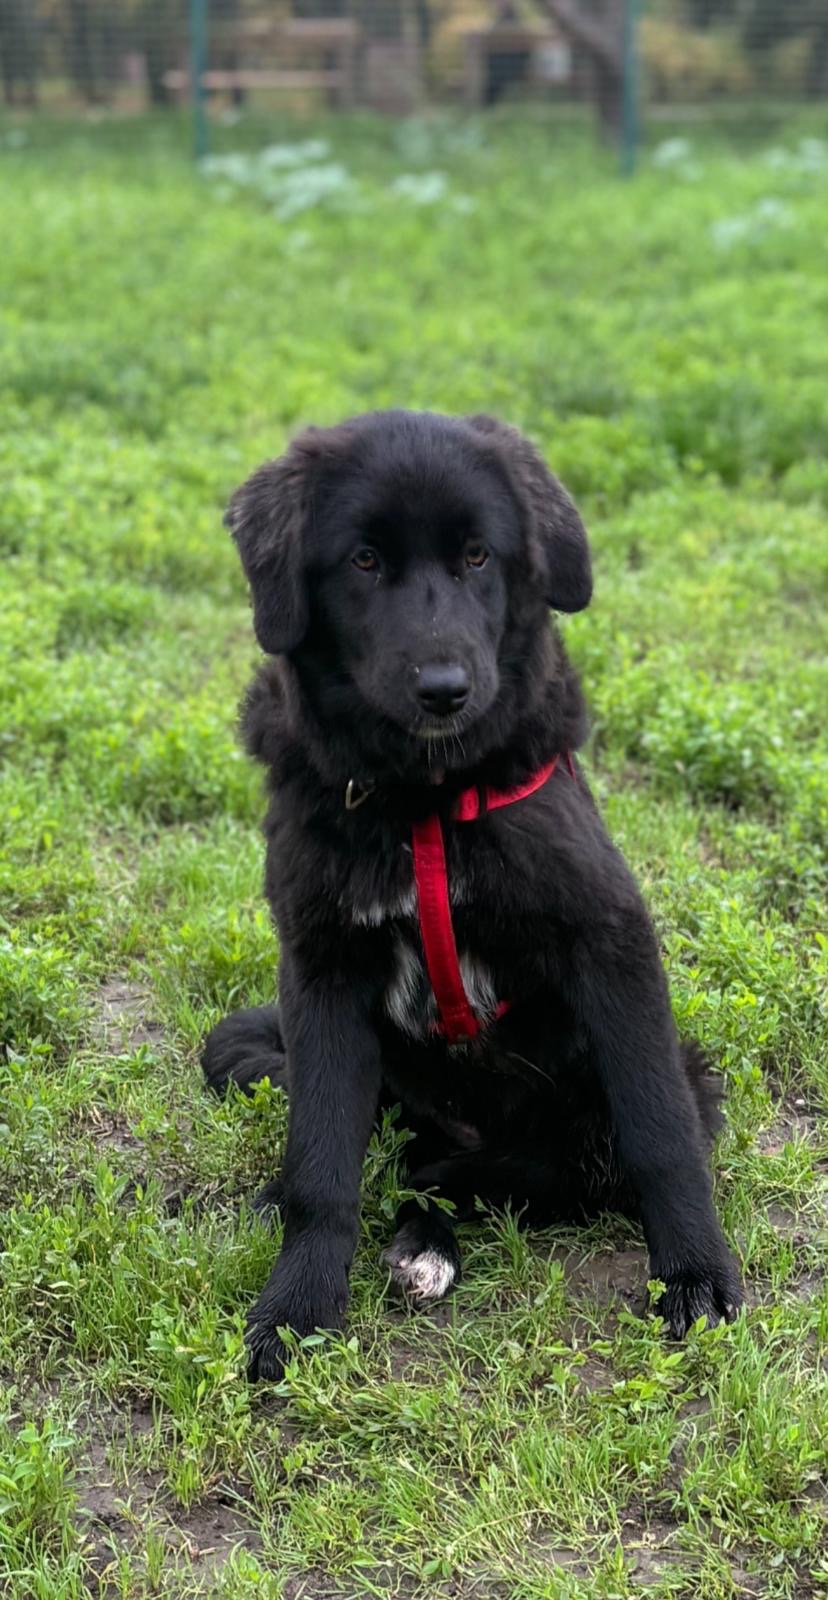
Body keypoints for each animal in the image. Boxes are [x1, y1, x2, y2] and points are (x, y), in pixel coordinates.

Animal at [202, 409, 743, 1380]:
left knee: (469, 1177)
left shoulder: (611, 940)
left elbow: (661, 1135)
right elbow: (321, 1167)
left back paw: (426, 1244)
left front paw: (694, 1274)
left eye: (478, 557)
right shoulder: (320, 970)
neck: (421, 799)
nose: (445, 691)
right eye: (363, 560)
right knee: (400, 1161)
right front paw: (297, 1306)